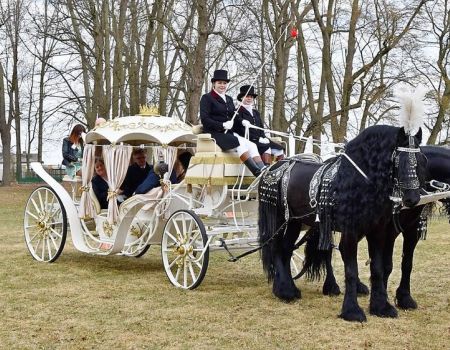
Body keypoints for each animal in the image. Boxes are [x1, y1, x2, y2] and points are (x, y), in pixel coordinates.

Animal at [258, 124, 428, 322]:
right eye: (400, 161)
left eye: (421, 161)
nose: (413, 199)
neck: (360, 180)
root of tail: (273, 167)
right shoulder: (350, 232)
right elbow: (351, 271)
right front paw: (352, 311)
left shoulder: (378, 232)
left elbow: (377, 268)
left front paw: (381, 307)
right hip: (278, 219)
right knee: (277, 249)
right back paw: (285, 291)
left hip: (295, 222)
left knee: (285, 250)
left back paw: (288, 289)